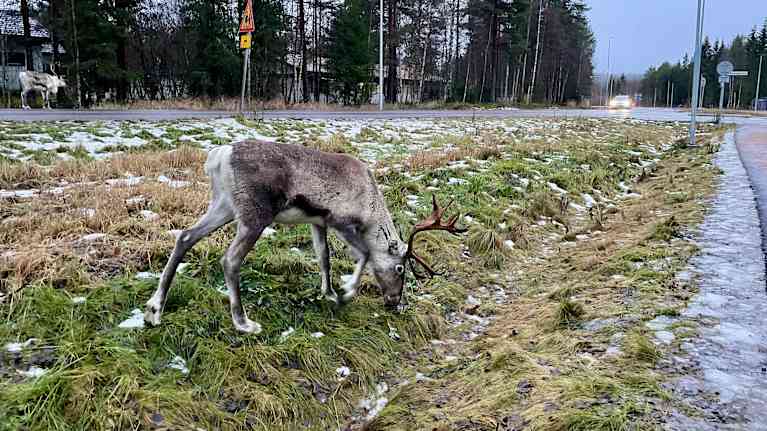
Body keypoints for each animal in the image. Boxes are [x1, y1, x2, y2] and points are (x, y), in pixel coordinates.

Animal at [144, 140, 465, 333]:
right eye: (400, 268)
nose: (394, 302)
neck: (371, 205)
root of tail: (219, 156)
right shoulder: (339, 221)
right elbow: (363, 254)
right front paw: (346, 292)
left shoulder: (317, 222)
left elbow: (323, 257)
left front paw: (328, 292)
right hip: (255, 215)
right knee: (230, 259)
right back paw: (243, 322)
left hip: (224, 205)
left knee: (185, 236)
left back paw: (154, 310)